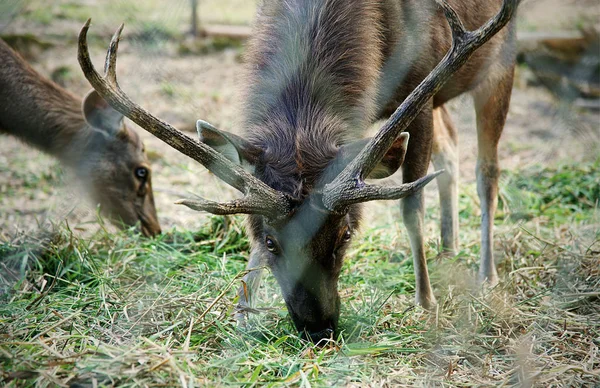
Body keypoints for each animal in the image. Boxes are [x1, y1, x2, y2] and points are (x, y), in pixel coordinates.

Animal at [77, 0, 516, 342]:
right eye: (271, 242)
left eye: (345, 235)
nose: (318, 328)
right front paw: (241, 313)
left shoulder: (422, 89)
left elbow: (410, 206)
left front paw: (425, 303)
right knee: (451, 148)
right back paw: (449, 249)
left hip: (496, 65)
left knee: (487, 172)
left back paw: (488, 275)